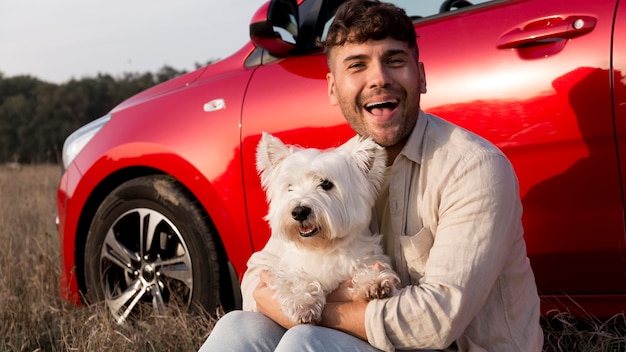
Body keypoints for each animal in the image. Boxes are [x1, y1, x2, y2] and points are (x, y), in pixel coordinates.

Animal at [251, 132, 398, 324]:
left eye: (326, 184)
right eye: (290, 187)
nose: (299, 211)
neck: (322, 247)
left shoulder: (368, 256)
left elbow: (368, 266)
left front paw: (373, 282)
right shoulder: (288, 267)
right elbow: (294, 278)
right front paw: (303, 303)